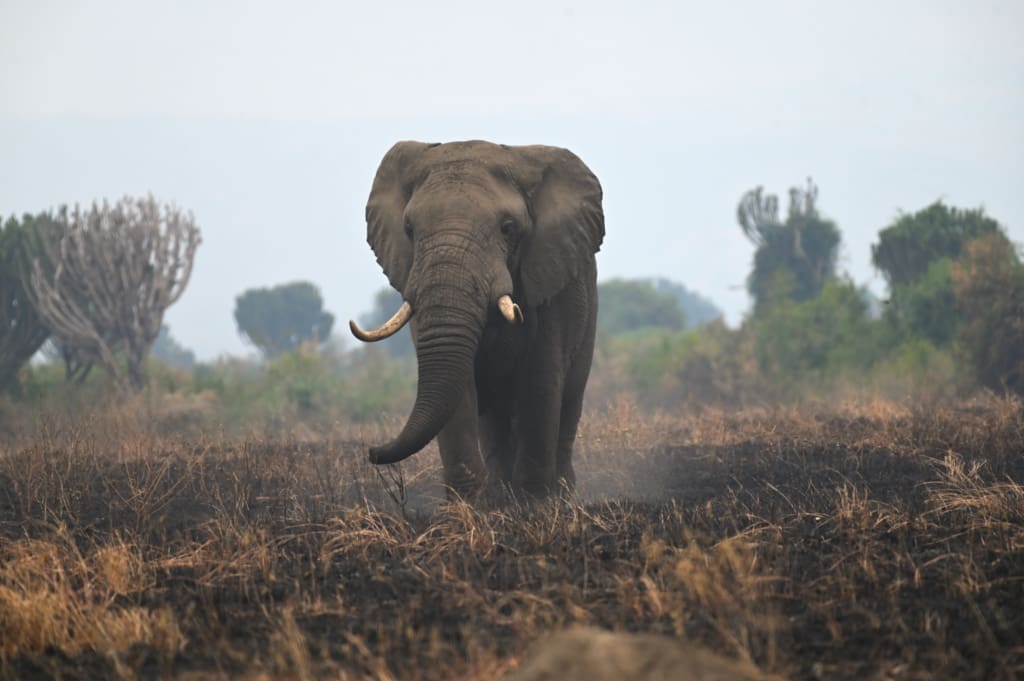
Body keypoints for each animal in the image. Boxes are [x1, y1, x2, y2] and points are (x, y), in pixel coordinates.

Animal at [348, 140, 604, 500]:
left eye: (508, 228)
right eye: (409, 229)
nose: (370, 451)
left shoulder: (550, 283)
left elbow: (539, 383)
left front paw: (534, 507)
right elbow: (459, 387)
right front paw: (469, 506)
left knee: (566, 403)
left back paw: (559, 494)